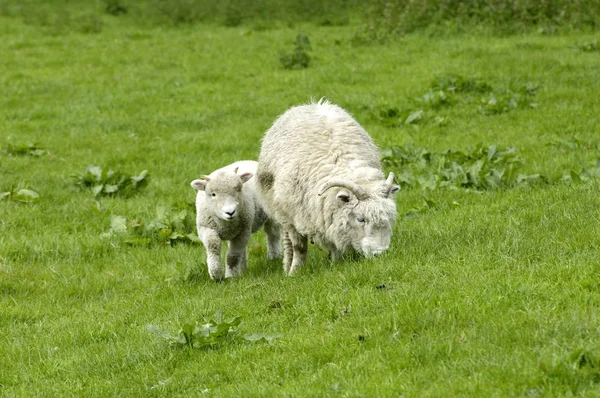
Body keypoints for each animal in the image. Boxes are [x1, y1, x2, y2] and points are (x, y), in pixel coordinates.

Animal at [255, 99, 400, 276]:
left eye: (390, 218)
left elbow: (334, 244)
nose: (380, 254)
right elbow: (299, 247)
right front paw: (295, 272)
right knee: (288, 241)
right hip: (280, 210)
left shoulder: (330, 218)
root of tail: (313, 104)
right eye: (361, 219)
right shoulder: (294, 214)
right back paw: (288, 265)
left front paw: (335, 263)